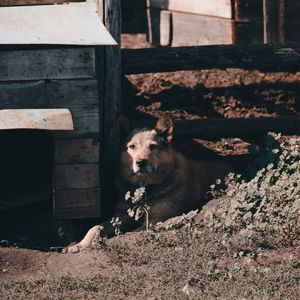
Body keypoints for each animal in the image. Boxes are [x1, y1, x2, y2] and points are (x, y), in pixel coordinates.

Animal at [65, 113, 230, 253]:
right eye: (132, 146)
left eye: (152, 146)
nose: (140, 162)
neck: (145, 189)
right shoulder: (121, 215)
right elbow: (95, 227)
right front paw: (80, 244)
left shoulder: (160, 217)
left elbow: (135, 231)